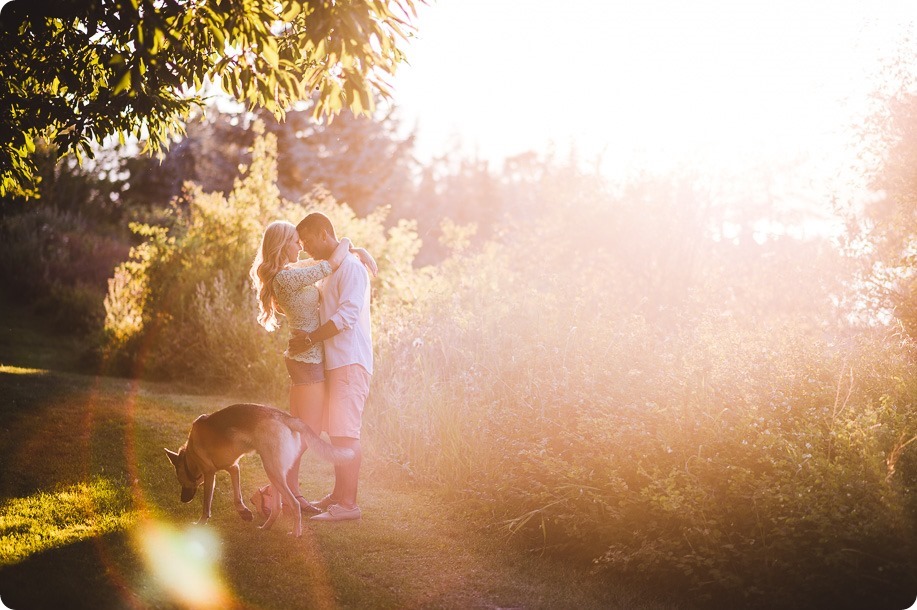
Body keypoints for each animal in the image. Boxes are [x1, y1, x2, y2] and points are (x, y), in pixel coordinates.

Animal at [163, 402, 352, 536]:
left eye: (181, 480)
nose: (183, 500)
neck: (190, 455)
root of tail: (284, 416)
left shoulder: (210, 474)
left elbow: (206, 504)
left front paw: (201, 522)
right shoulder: (234, 468)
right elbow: (237, 496)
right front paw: (244, 512)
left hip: (272, 471)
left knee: (295, 504)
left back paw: (296, 533)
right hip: (274, 473)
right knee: (277, 508)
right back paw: (265, 527)